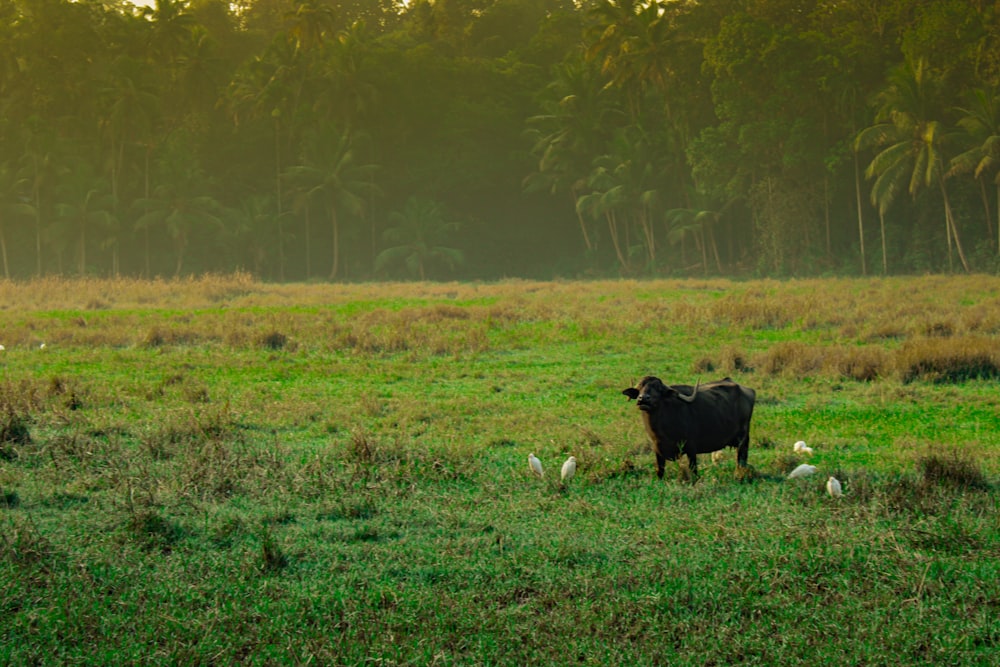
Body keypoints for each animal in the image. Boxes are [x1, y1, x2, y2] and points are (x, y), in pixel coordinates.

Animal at [620, 376, 752, 480]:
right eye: (640, 388)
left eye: (658, 388)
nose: (643, 399)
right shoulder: (657, 451)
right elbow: (660, 471)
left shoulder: (691, 448)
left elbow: (694, 471)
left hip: (743, 439)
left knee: (742, 458)